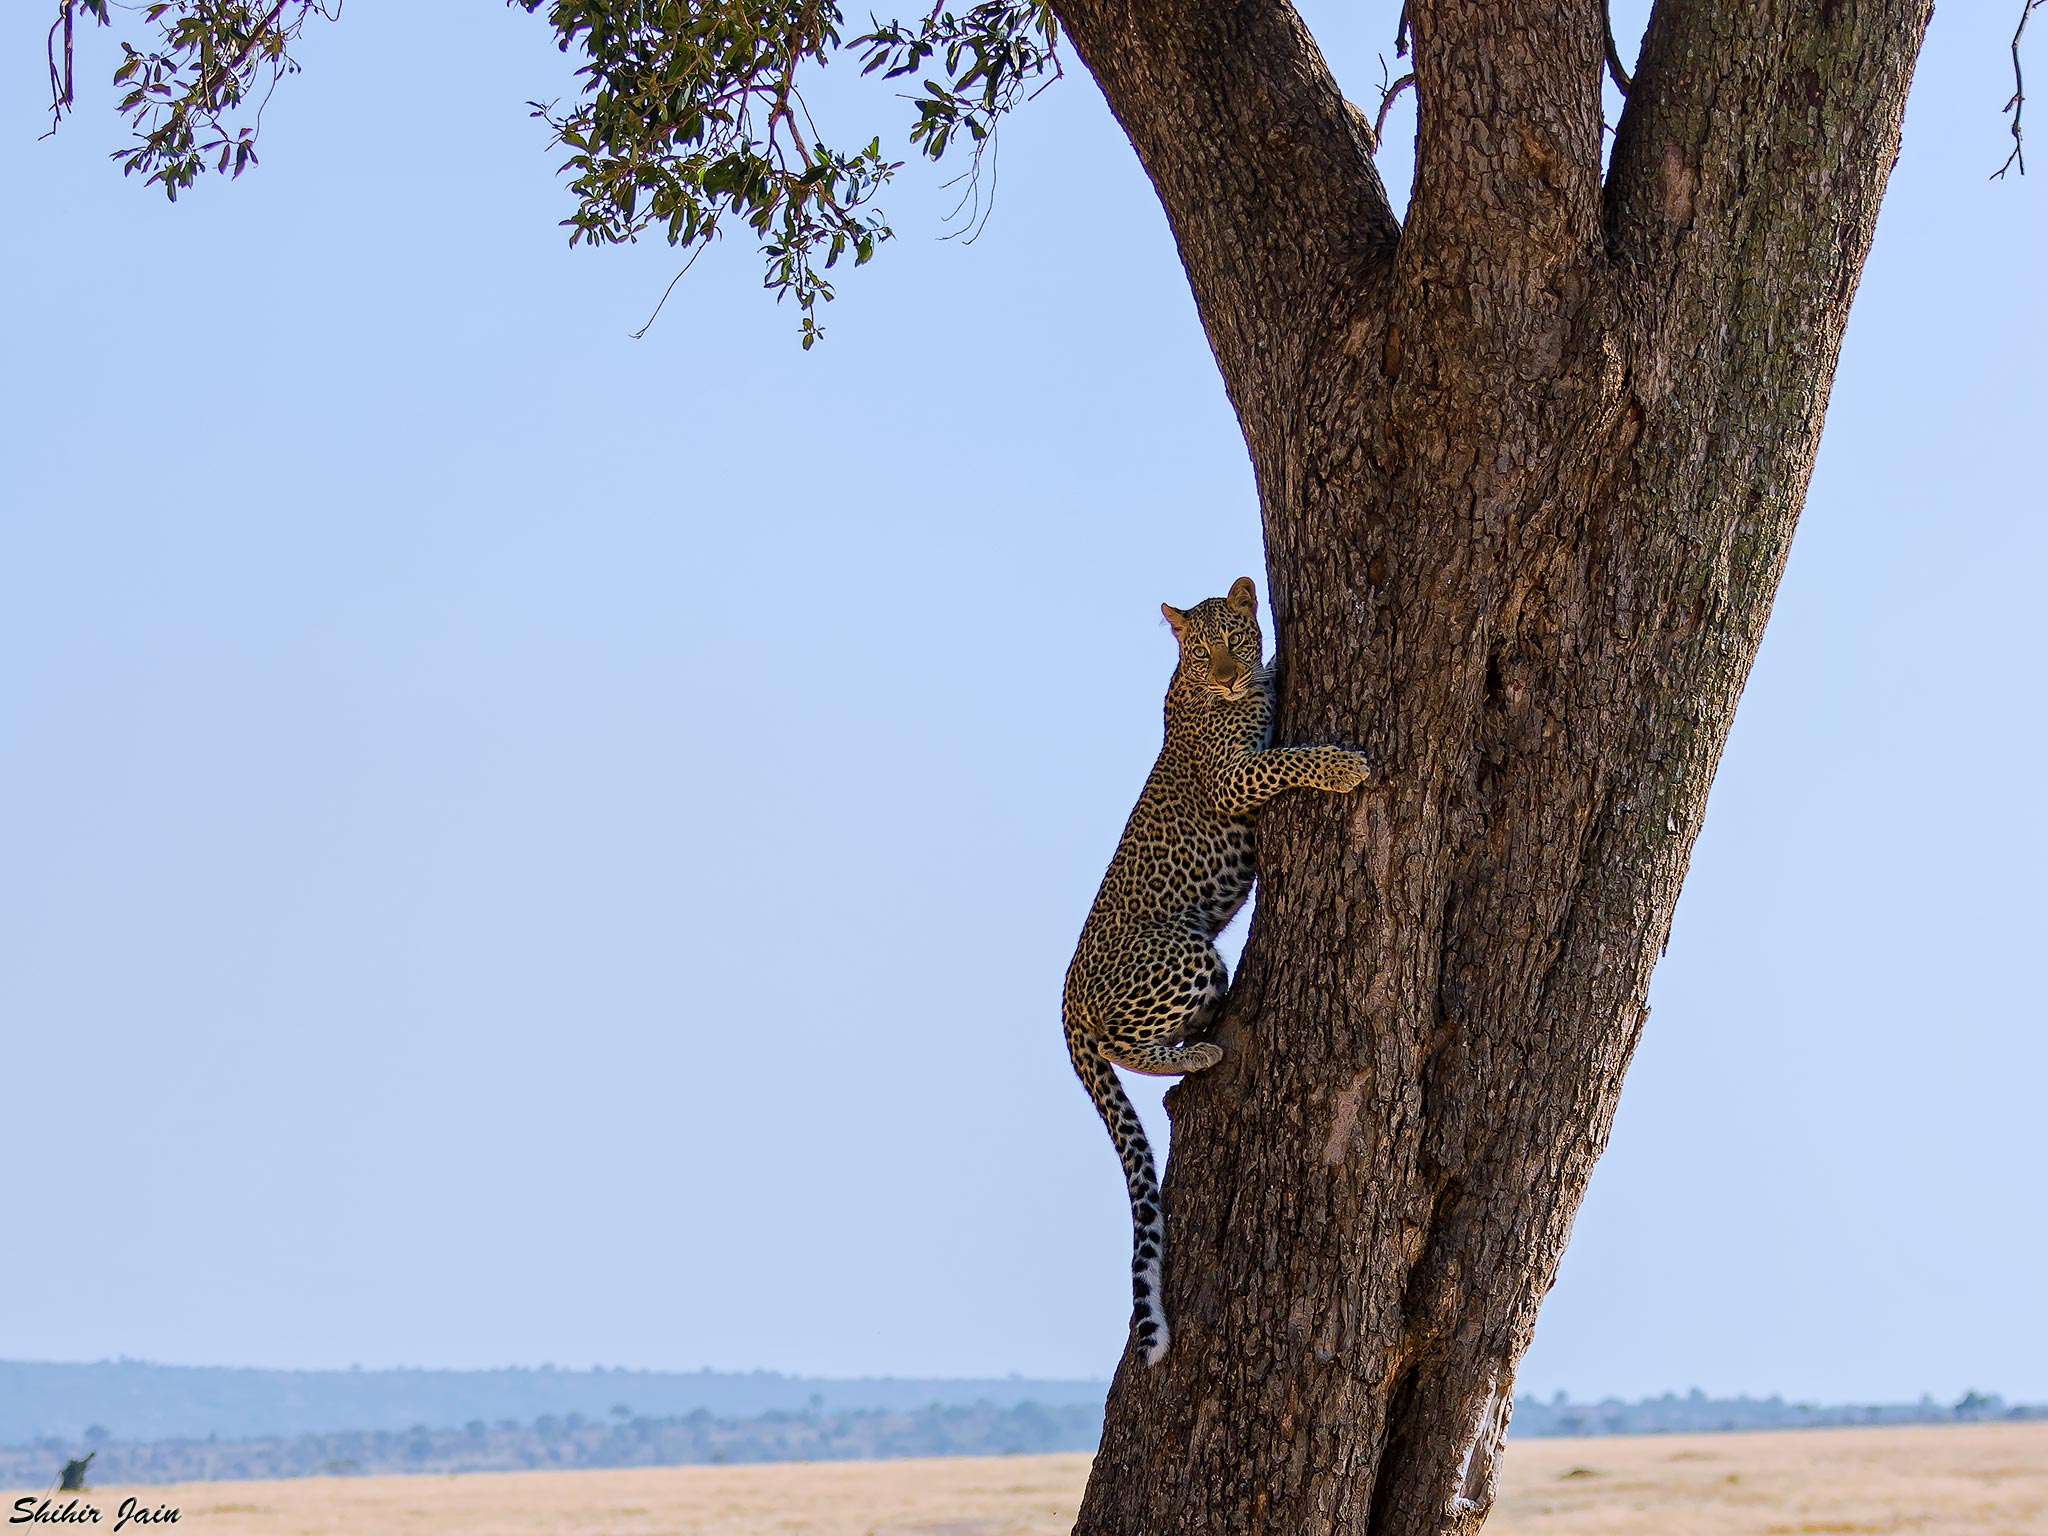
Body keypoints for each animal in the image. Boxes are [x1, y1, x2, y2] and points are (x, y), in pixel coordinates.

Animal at [1064, 581, 1368, 1368]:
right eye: (1202, 651)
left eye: (1233, 634)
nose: (1230, 676)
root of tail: (1064, 998)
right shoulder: (1234, 778)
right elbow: (1286, 759)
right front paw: (1341, 766)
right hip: (1187, 953)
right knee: (1125, 1043)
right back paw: (1198, 1051)